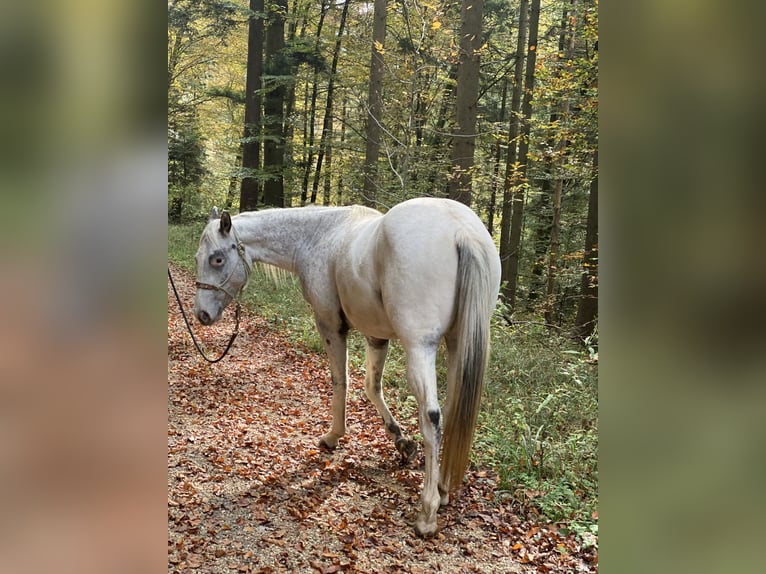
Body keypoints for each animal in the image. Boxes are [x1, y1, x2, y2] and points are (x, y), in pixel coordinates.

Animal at [195, 199, 500, 540]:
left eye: (217, 258)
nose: (201, 314)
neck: (318, 236)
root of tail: (461, 230)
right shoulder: (376, 335)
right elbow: (372, 386)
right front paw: (401, 442)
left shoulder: (330, 325)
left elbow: (340, 380)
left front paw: (333, 437)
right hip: (458, 345)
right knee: (451, 410)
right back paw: (444, 489)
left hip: (420, 348)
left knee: (432, 418)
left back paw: (427, 512)